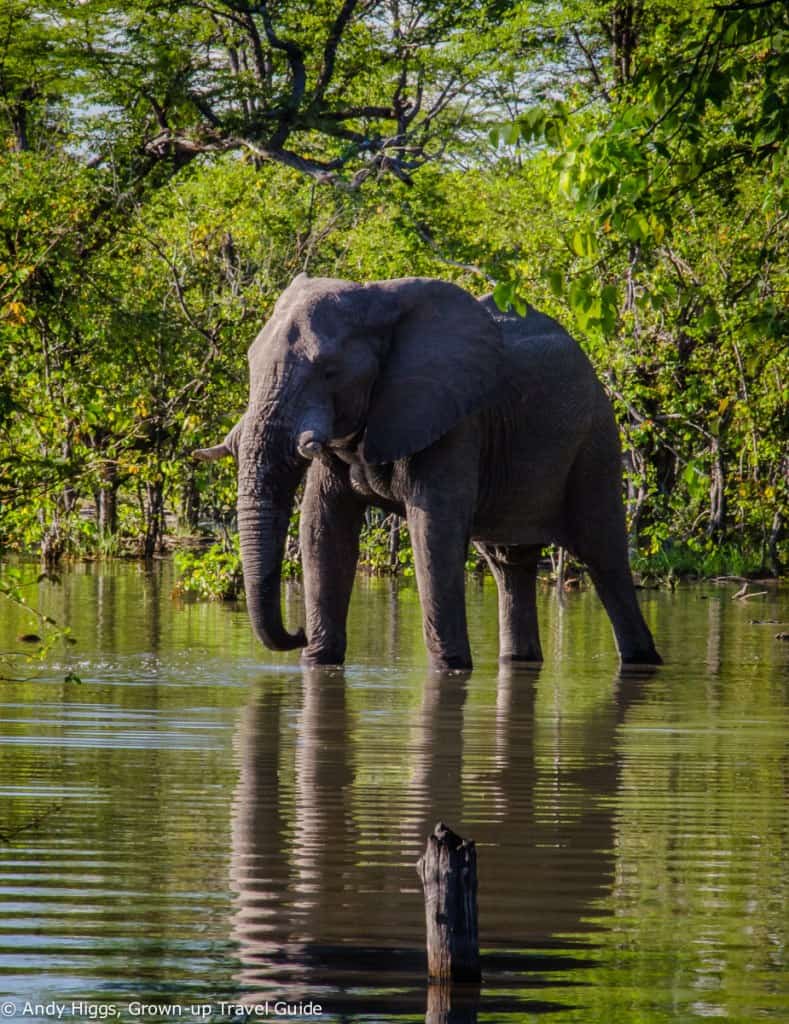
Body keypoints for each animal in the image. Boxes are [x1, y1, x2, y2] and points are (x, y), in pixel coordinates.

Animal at [195, 272, 659, 671]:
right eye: (251, 362)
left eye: (329, 370)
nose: (297, 632)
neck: (377, 300)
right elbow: (323, 528)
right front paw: (319, 661)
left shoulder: (455, 419)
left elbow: (432, 533)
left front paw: (450, 668)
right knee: (509, 564)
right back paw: (519, 659)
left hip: (595, 441)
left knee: (604, 555)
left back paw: (642, 659)